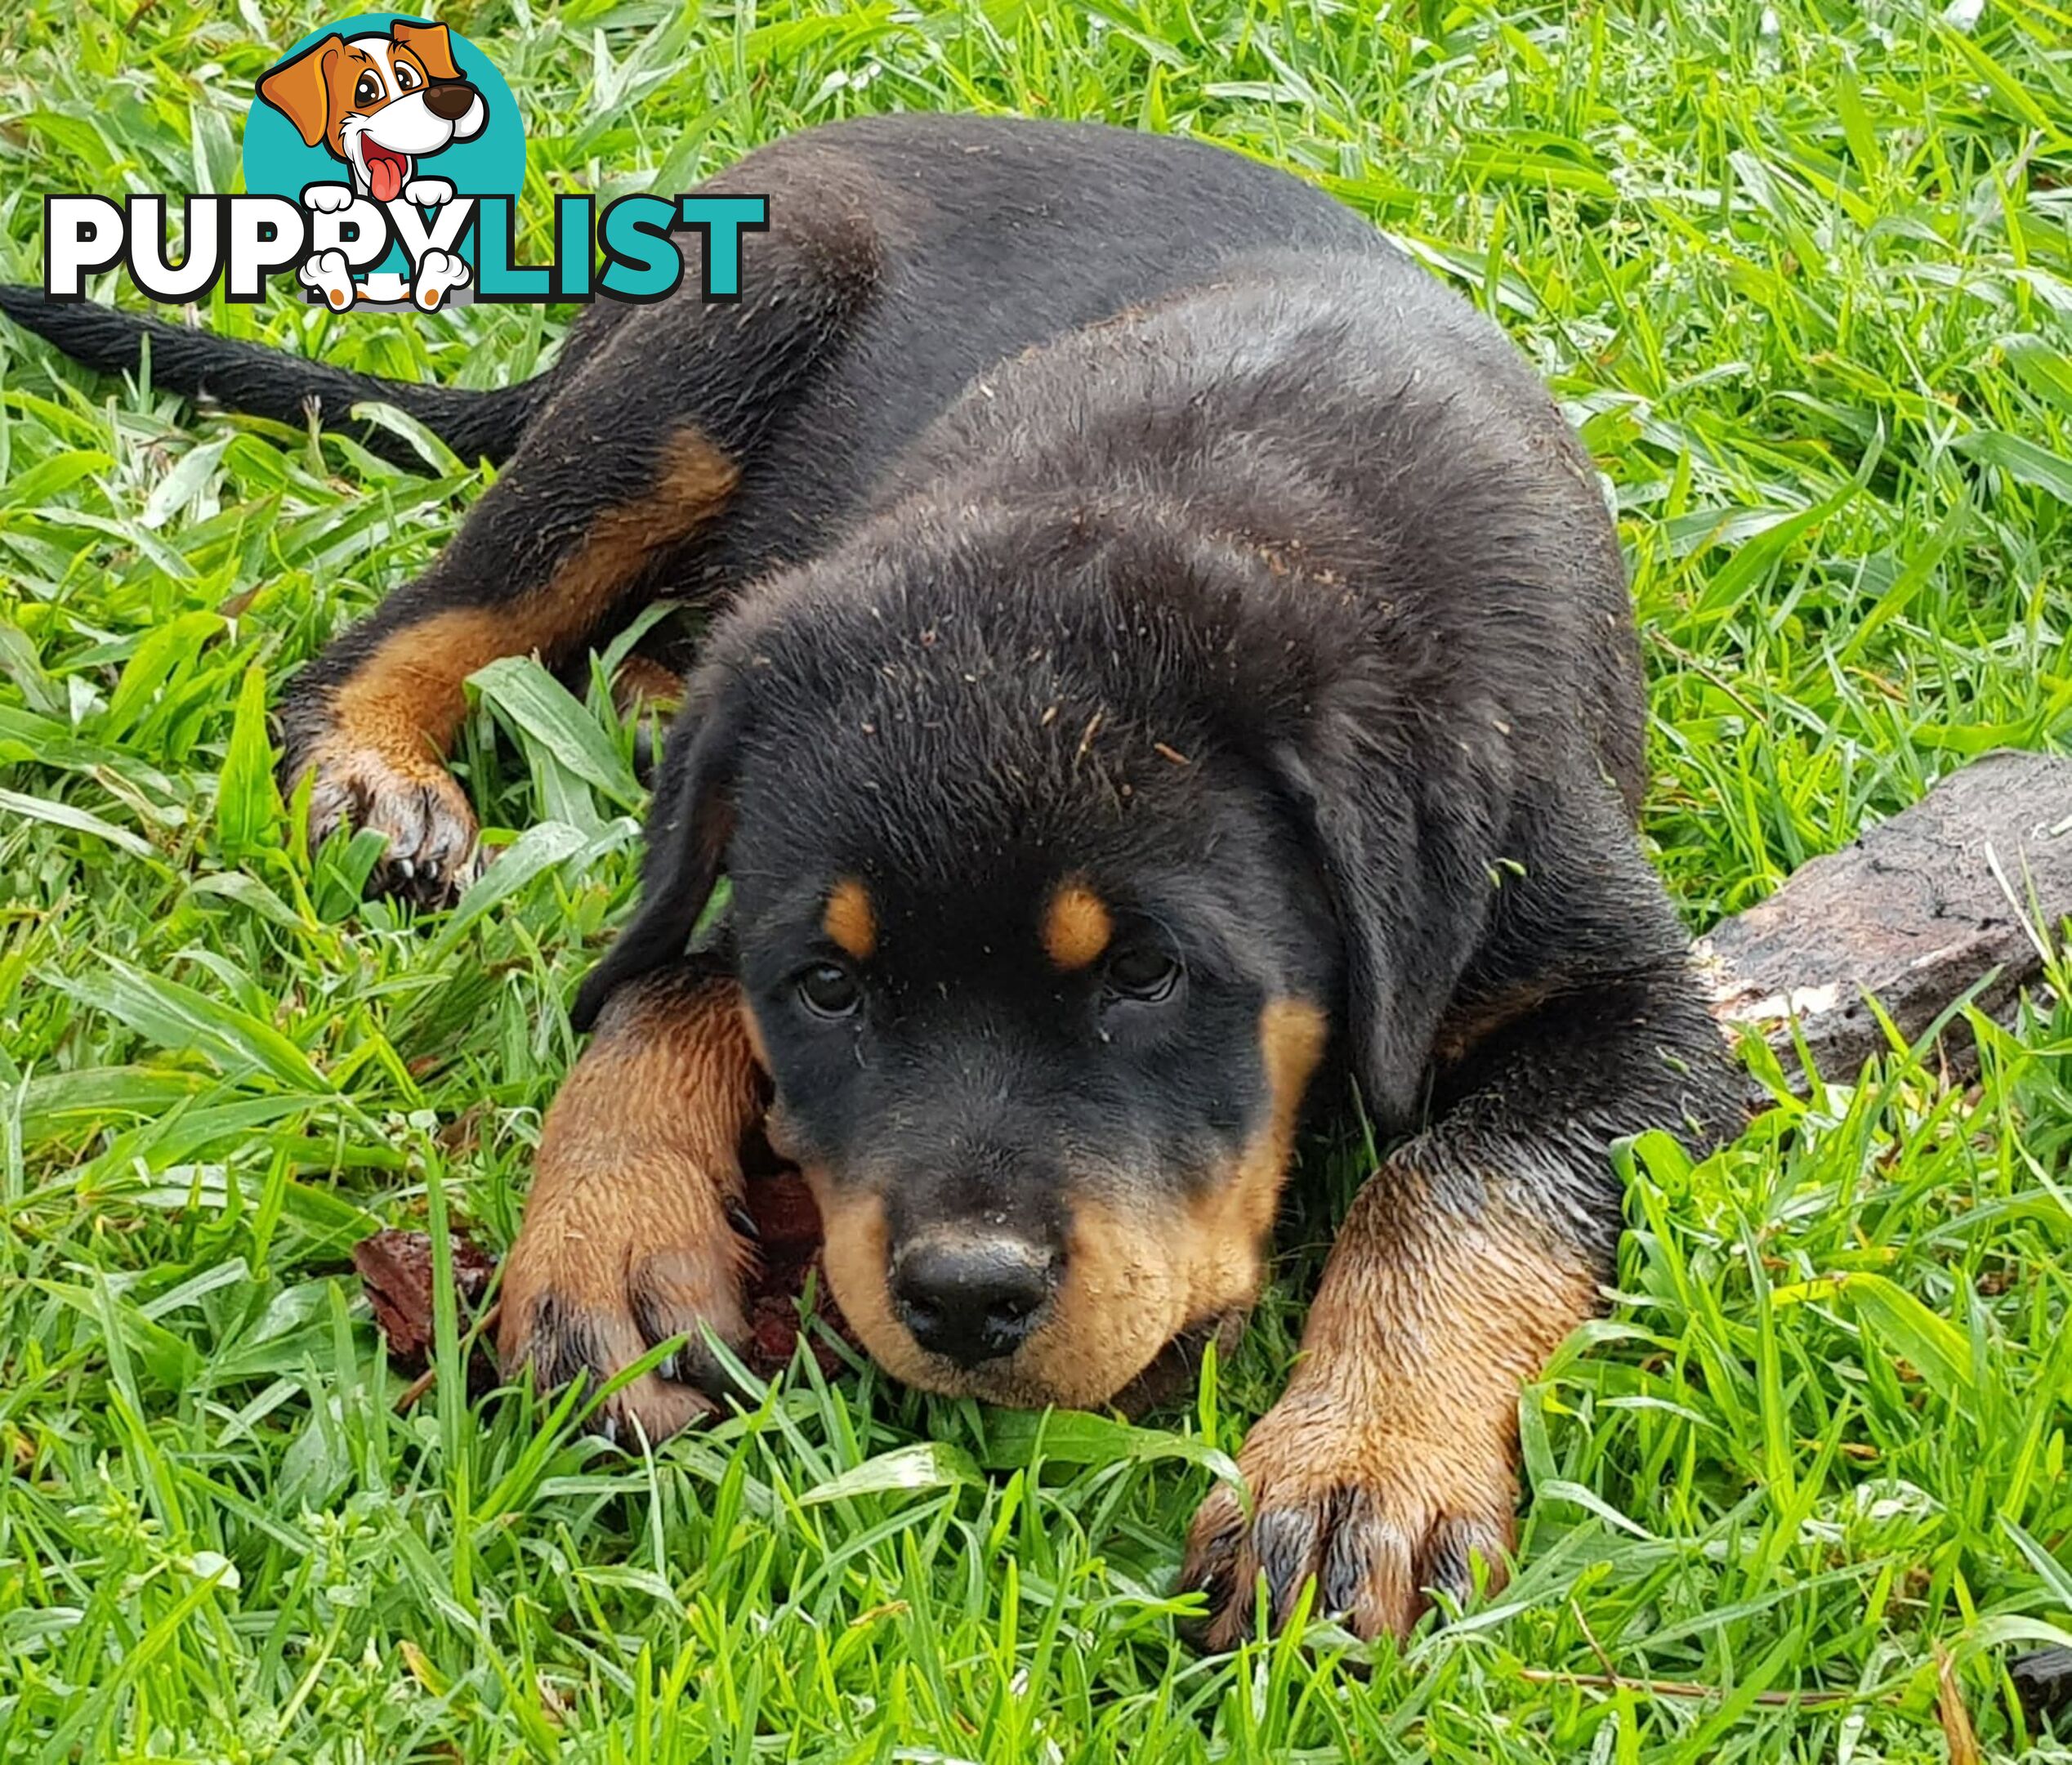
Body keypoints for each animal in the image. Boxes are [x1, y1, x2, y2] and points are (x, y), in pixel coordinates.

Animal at [0, 117, 1740, 1649]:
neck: (1202, 494)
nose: (963, 1301)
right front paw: (612, 1240)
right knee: (429, 616)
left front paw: (1358, 1475)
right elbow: (659, 976)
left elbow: (1451, 1184)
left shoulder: (1640, 1005)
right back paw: (373, 771)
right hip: (711, 350)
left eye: (1146, 975)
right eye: (830, 988)